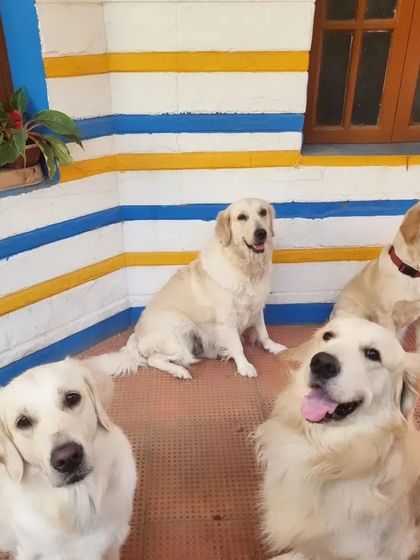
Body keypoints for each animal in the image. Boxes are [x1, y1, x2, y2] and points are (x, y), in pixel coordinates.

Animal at [112, 198, 286, 380]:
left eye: (263, 212)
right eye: (241, 217)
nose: (261, 233)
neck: (246, 268)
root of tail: (137, 335)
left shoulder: (256, 306)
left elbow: (263, 332)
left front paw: (273, 346)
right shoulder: (227, 318)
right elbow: (237, 346)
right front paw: (244, 366)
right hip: (179, 329)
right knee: (155, 359)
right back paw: (180, 371)